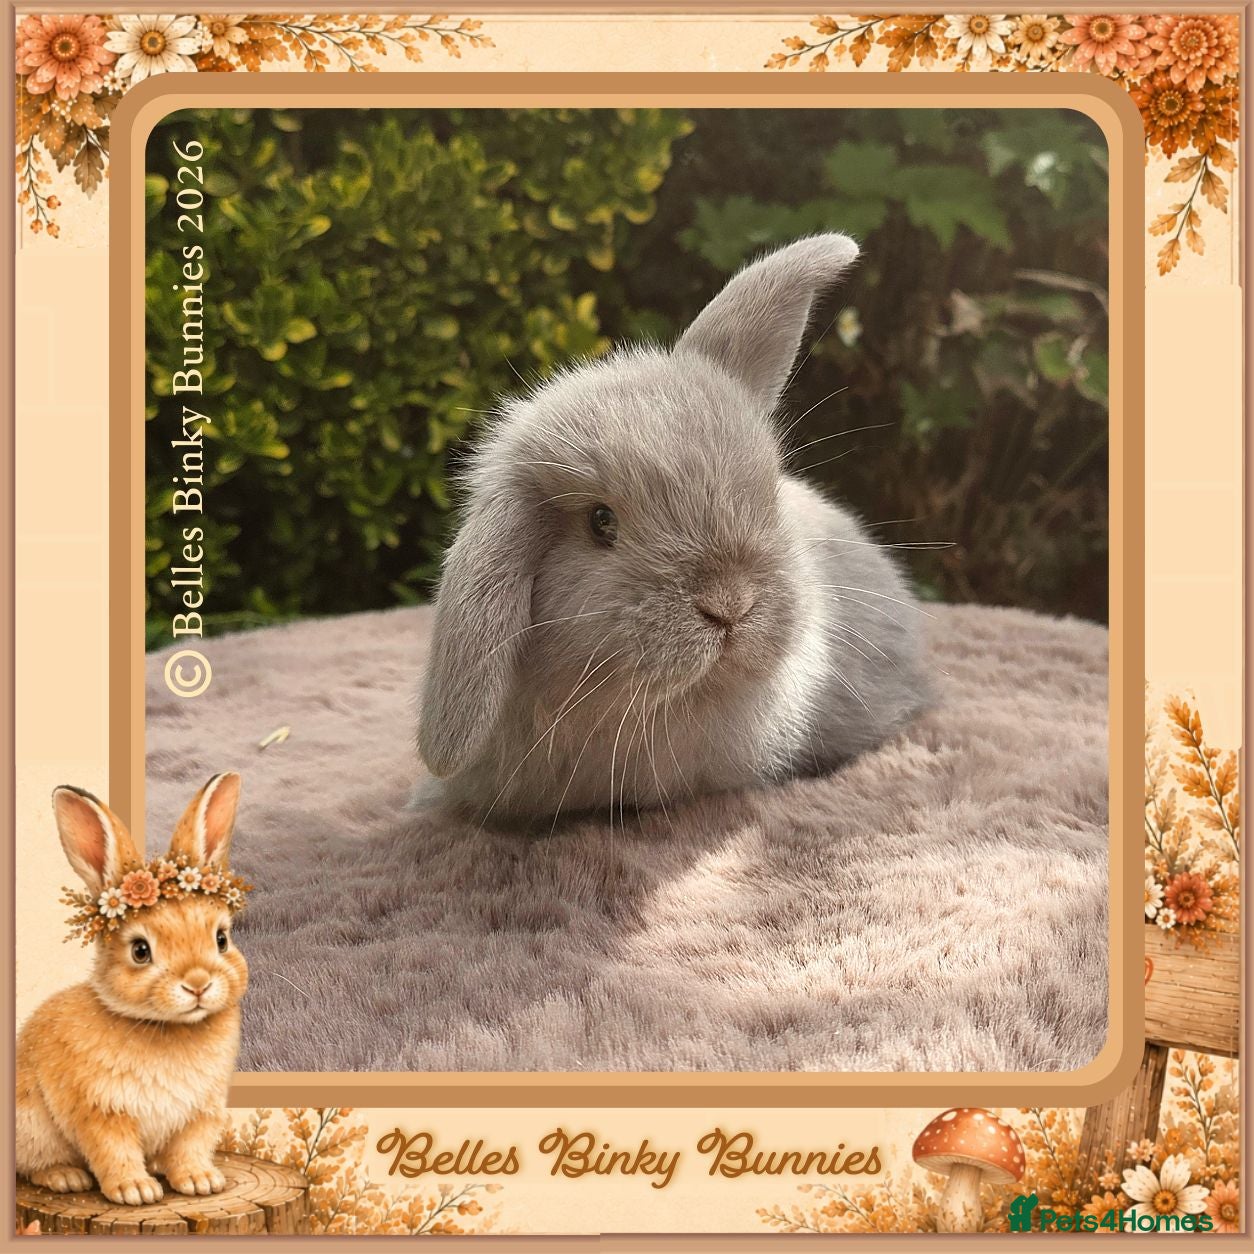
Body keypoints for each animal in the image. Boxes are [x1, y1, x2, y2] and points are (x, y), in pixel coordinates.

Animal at [15, 774, 249, 1206]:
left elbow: (190, 1148)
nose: (198, 984)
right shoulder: (101, 1111)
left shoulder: (200, 1113)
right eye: (141, 951)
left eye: (221, 939)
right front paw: (135, 1191)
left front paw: (201, 1182)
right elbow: (114, 1151)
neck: (168, 1028)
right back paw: (65, 1177)